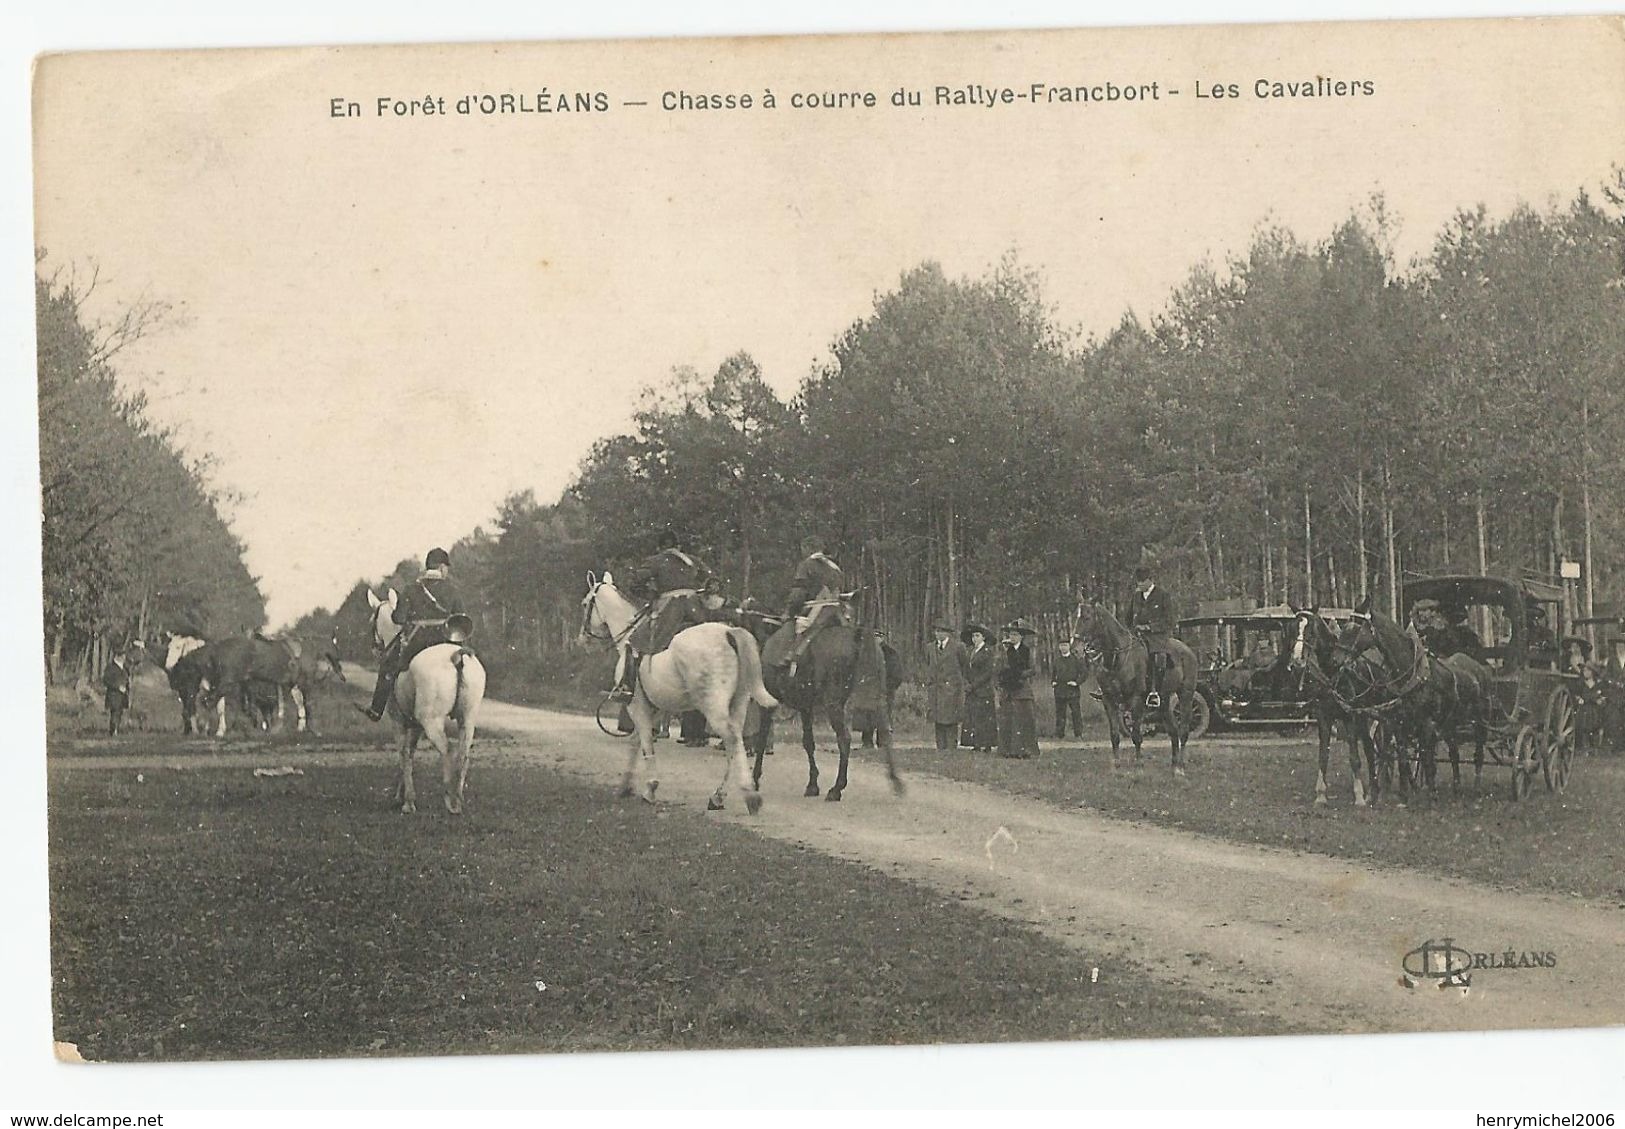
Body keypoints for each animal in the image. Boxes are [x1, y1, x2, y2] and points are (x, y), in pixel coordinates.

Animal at [370, 588, 487, 815]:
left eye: (372, 620)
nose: (376, 649)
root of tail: (456, 656)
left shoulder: (398, 720)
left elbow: (403, 754)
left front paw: (407, 801)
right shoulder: (415, 725)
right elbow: (410, 752)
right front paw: (401, 795)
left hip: (432, 721)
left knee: (448, 751)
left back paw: (450, 801)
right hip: (468, 719)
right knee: (463, 755)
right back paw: (458, 799)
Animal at [585, 575, 780, 812]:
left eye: (585, 604)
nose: (584, 639)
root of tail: (729, 632)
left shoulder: (636, 705)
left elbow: (645, 742)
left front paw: (650, 787)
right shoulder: (654, 706)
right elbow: (637, 742)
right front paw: (627, 785)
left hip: (714, 707)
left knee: (732, 739)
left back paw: (749, 795)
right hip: (739, 703)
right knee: (736, 743)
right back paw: (719, 796)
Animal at [1072, 601, 1202, 776]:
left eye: (1086, 618)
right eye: (1076, 617)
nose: (1075, 649)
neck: (1118, 658)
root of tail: (1188, 650)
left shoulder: (1136, 700)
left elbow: (1136, 735)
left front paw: (1139, 766)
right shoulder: (1108, 700)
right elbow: (1115, 735)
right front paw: (1116, 767)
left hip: (1186, 695)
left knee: (1183, 731)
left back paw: (1180, 767)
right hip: (1164, 701)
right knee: (1173, 731)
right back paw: (1174, 765)